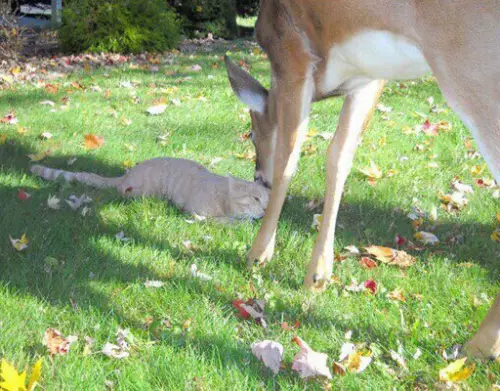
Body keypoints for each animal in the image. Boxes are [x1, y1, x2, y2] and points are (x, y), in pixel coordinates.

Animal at [30, 158, 270, 220]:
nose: (268, 211)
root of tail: (127, 174)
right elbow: (225, 221)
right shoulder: (195, 213)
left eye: (268, 201)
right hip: (143, 192)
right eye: (255, 198)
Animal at [226, 0, 500, 360]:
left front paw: (258, 253)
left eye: (252, 132)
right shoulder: (370, 76)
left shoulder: (292, 51)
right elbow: (339, 156)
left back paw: (479, 345)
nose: (258, 176)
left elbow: (290, 156)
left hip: (472, 69)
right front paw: (319, 274)